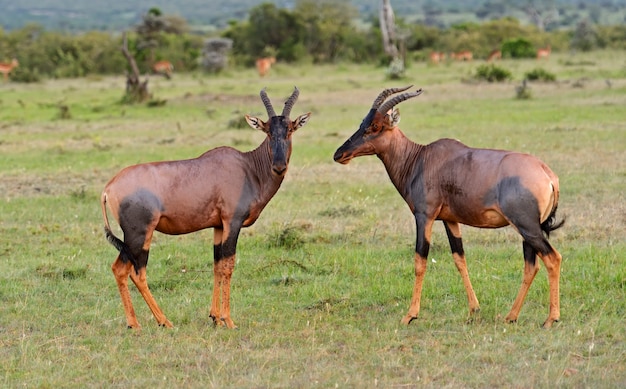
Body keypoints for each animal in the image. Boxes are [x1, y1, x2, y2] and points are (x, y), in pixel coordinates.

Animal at [101, 86, 310, 326]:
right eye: (267, 131)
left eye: (290, 130)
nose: (279, 166)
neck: (248, 168)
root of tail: (109, 187)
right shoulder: (232, 222)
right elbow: (229, 265)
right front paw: (229, 321)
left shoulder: (218, 226)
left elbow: (217, 265)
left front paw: (215, 317)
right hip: (139, 235)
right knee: (134, 271)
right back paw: (162, 322)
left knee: (119, 269)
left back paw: (135, 324)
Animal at [334, 85, 564, 328]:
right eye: (363, 122)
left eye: (376, 126)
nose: (339, 154)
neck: (420, 158)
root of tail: (548, 175)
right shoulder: (450, 220)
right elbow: (459, 259)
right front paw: (474, 309)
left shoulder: (424, 216)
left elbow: (420, 261)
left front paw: (410, 315)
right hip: (527, 229)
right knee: (531, 266)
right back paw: (511, 316)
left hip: (527, 226)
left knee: (552, 258)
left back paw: (551, 319)